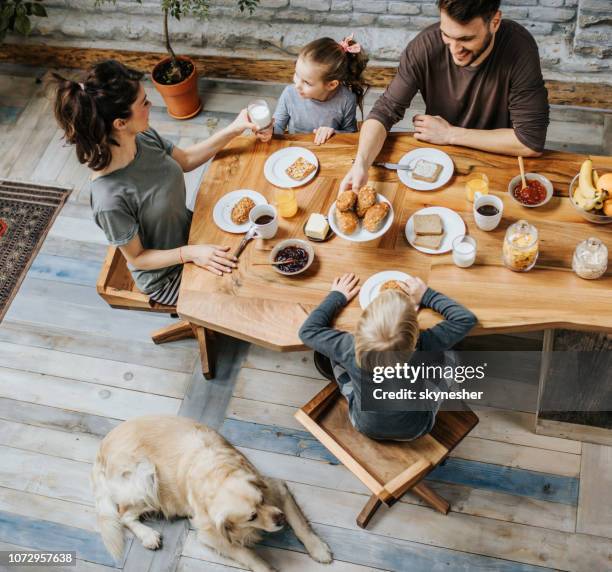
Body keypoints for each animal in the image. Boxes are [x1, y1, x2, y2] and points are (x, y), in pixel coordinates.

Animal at [90, 416, 332, 572]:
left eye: (262, 500)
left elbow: (300, 525)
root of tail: (101, 447)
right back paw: (148, 535)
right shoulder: (211, 534)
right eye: (251, 517)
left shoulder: (276, 488)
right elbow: (248, 554)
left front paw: (318, 548)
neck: (217, 475)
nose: (280, 518)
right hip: (146, 475)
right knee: (123, 514)